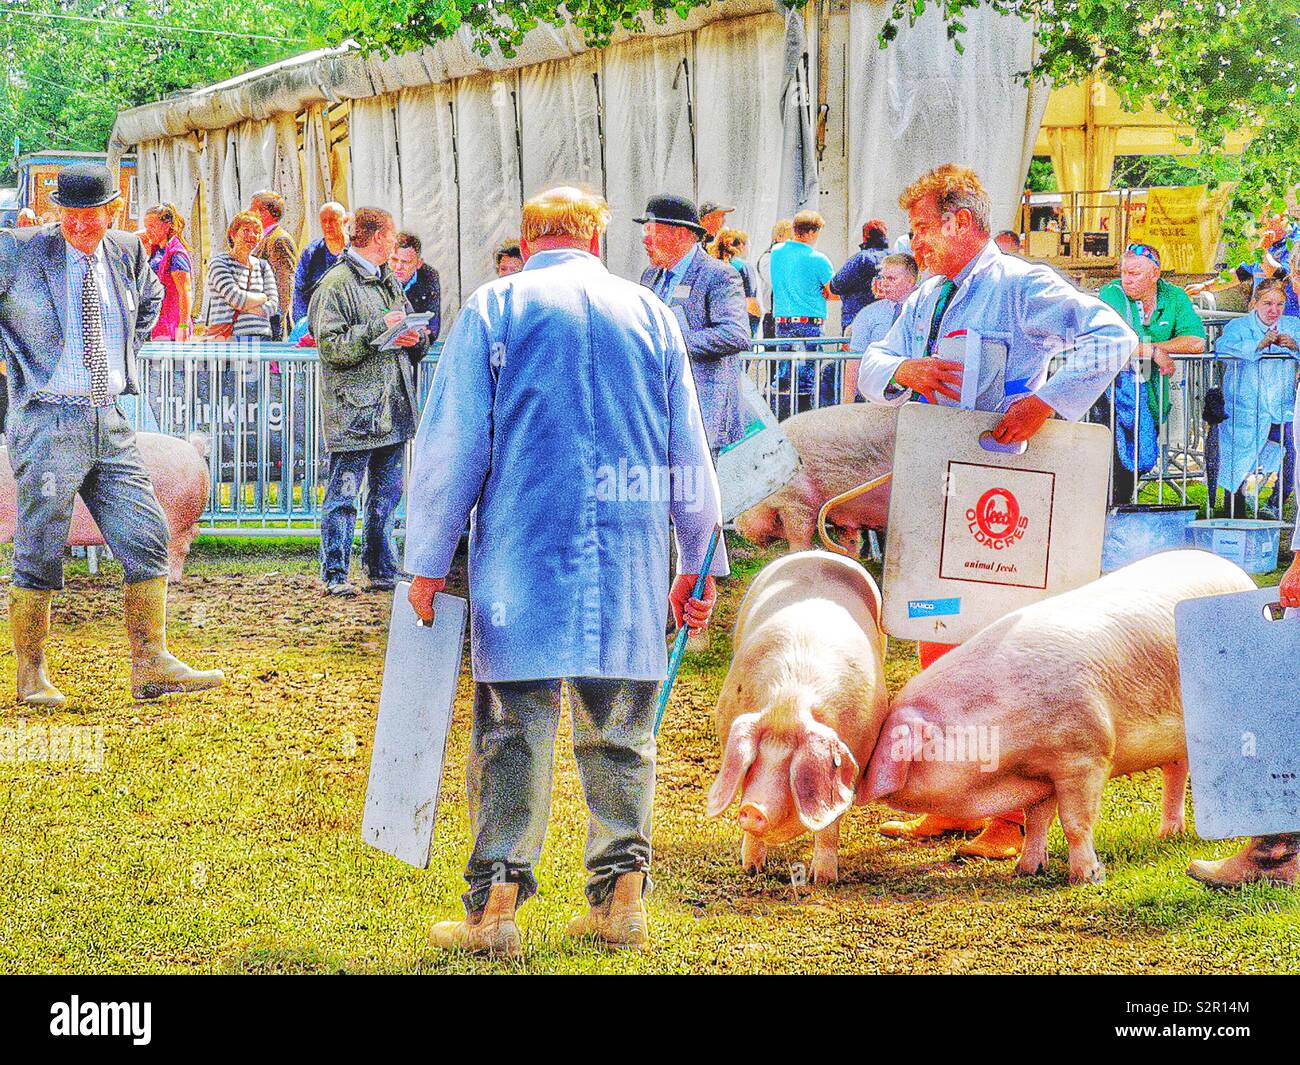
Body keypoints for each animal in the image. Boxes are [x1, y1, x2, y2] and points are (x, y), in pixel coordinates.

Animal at [707, 548, 889, 884]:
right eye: (756, 760)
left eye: (790, 765)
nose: (753, 808)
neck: (788, 703)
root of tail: (818, 552)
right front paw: (751, 869)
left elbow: (829, 824)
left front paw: (823, 880)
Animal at [738, 403, 899, 559]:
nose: (738, 528)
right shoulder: (845, 520)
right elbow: (850, 541)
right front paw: (851, 557)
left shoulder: (796, 500)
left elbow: (798, 533)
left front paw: (796, 553)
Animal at [857, 548, 1253, 884]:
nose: (859, 782)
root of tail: (1237, 573)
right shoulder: (1040, 776)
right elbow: (1037, 821)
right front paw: (1026, 870)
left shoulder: (1086, 756)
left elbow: (1075, 821)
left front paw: (1087, 877)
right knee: (1176, 770)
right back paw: (1168, 834)